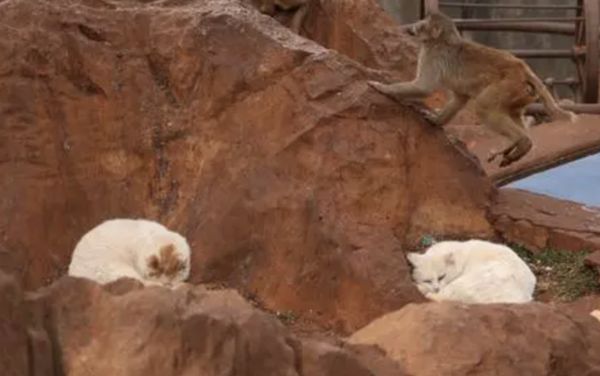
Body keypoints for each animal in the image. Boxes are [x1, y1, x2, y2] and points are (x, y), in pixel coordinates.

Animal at [366, 11, 576, 167]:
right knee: (513, 113)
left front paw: (384, 88)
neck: (442, 40)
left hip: (507, 86)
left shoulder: (432, 55)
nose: (414, 25)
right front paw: (437, 120)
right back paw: (518, 146)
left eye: (423, 23)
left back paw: (522, 142)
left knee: (484, 107)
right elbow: (460, 98)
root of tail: (523, 69)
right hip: (521, 94)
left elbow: (424, 87)